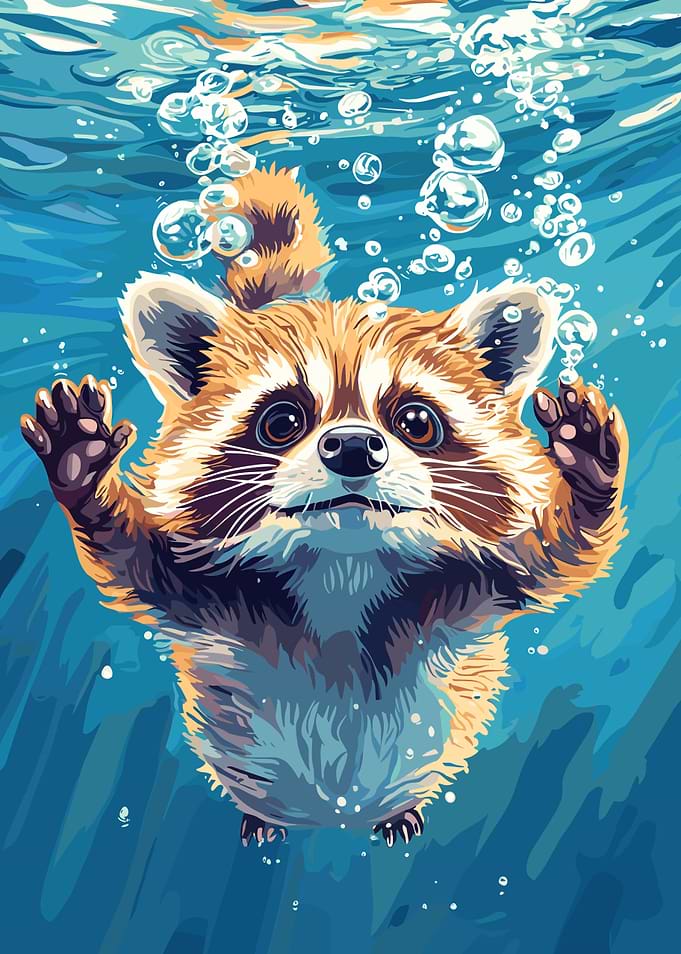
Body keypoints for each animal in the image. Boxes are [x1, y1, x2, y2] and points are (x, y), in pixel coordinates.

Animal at [21, 166, 627, 847]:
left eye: (416, 421)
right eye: (283, 420)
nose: (354, 448)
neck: (343, 568)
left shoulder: (470, 585)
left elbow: (554, 560)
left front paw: (588, 480)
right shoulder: (213, 593)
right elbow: (131, 561)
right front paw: (87, 479)